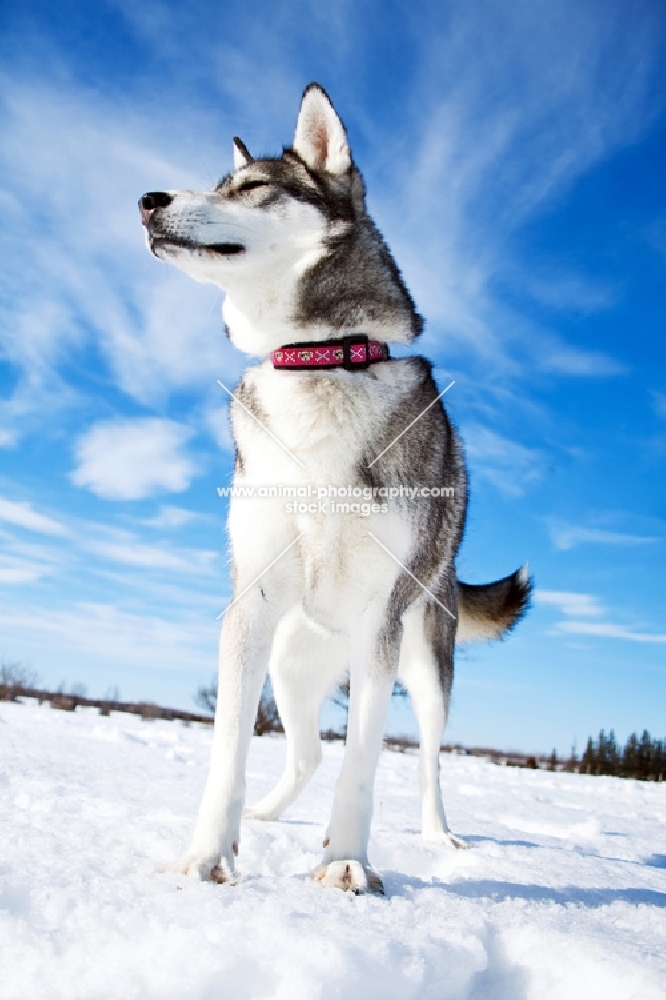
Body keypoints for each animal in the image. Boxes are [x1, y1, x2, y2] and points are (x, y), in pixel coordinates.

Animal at [140, 86, 528, 896]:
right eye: (219, 183)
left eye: (252, 187)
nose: (147, 200)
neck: (321, 361)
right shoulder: (250, 604)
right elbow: (229, 748)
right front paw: (207, 856)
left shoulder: (380, 620)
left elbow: (365, 764)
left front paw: (347, 859)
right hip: (291, 663)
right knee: (308, 751)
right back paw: (264, 815)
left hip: (423, 664)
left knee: (426, 761)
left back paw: (438, 836)